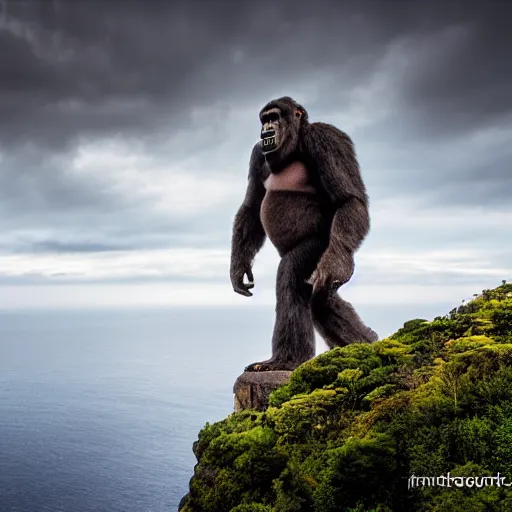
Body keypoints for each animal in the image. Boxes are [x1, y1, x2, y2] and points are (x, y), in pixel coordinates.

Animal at [230, 96, 378, 370]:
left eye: (274, 117)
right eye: (264, 119)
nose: (267, 129)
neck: (296, 143)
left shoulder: (325, 138)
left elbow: (348, 201)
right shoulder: (257, 154)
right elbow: (252, 207)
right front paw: (238, 268)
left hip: (325, 246)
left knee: (296, 276)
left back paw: (286, 359)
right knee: (320, 298)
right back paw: (365, 340)